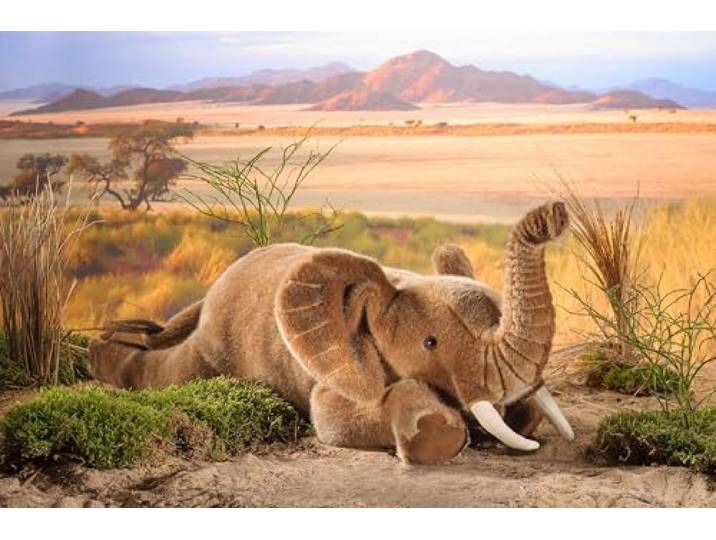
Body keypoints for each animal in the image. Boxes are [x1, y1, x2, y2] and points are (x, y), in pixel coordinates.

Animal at [90, 200, 574, 464]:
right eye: (430, 342)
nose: (555, 215)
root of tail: (213, 290)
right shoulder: (346, 366)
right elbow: (331, 416)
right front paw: (437, 429)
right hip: (217, 347)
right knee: (171, 371)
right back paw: (102, 355)